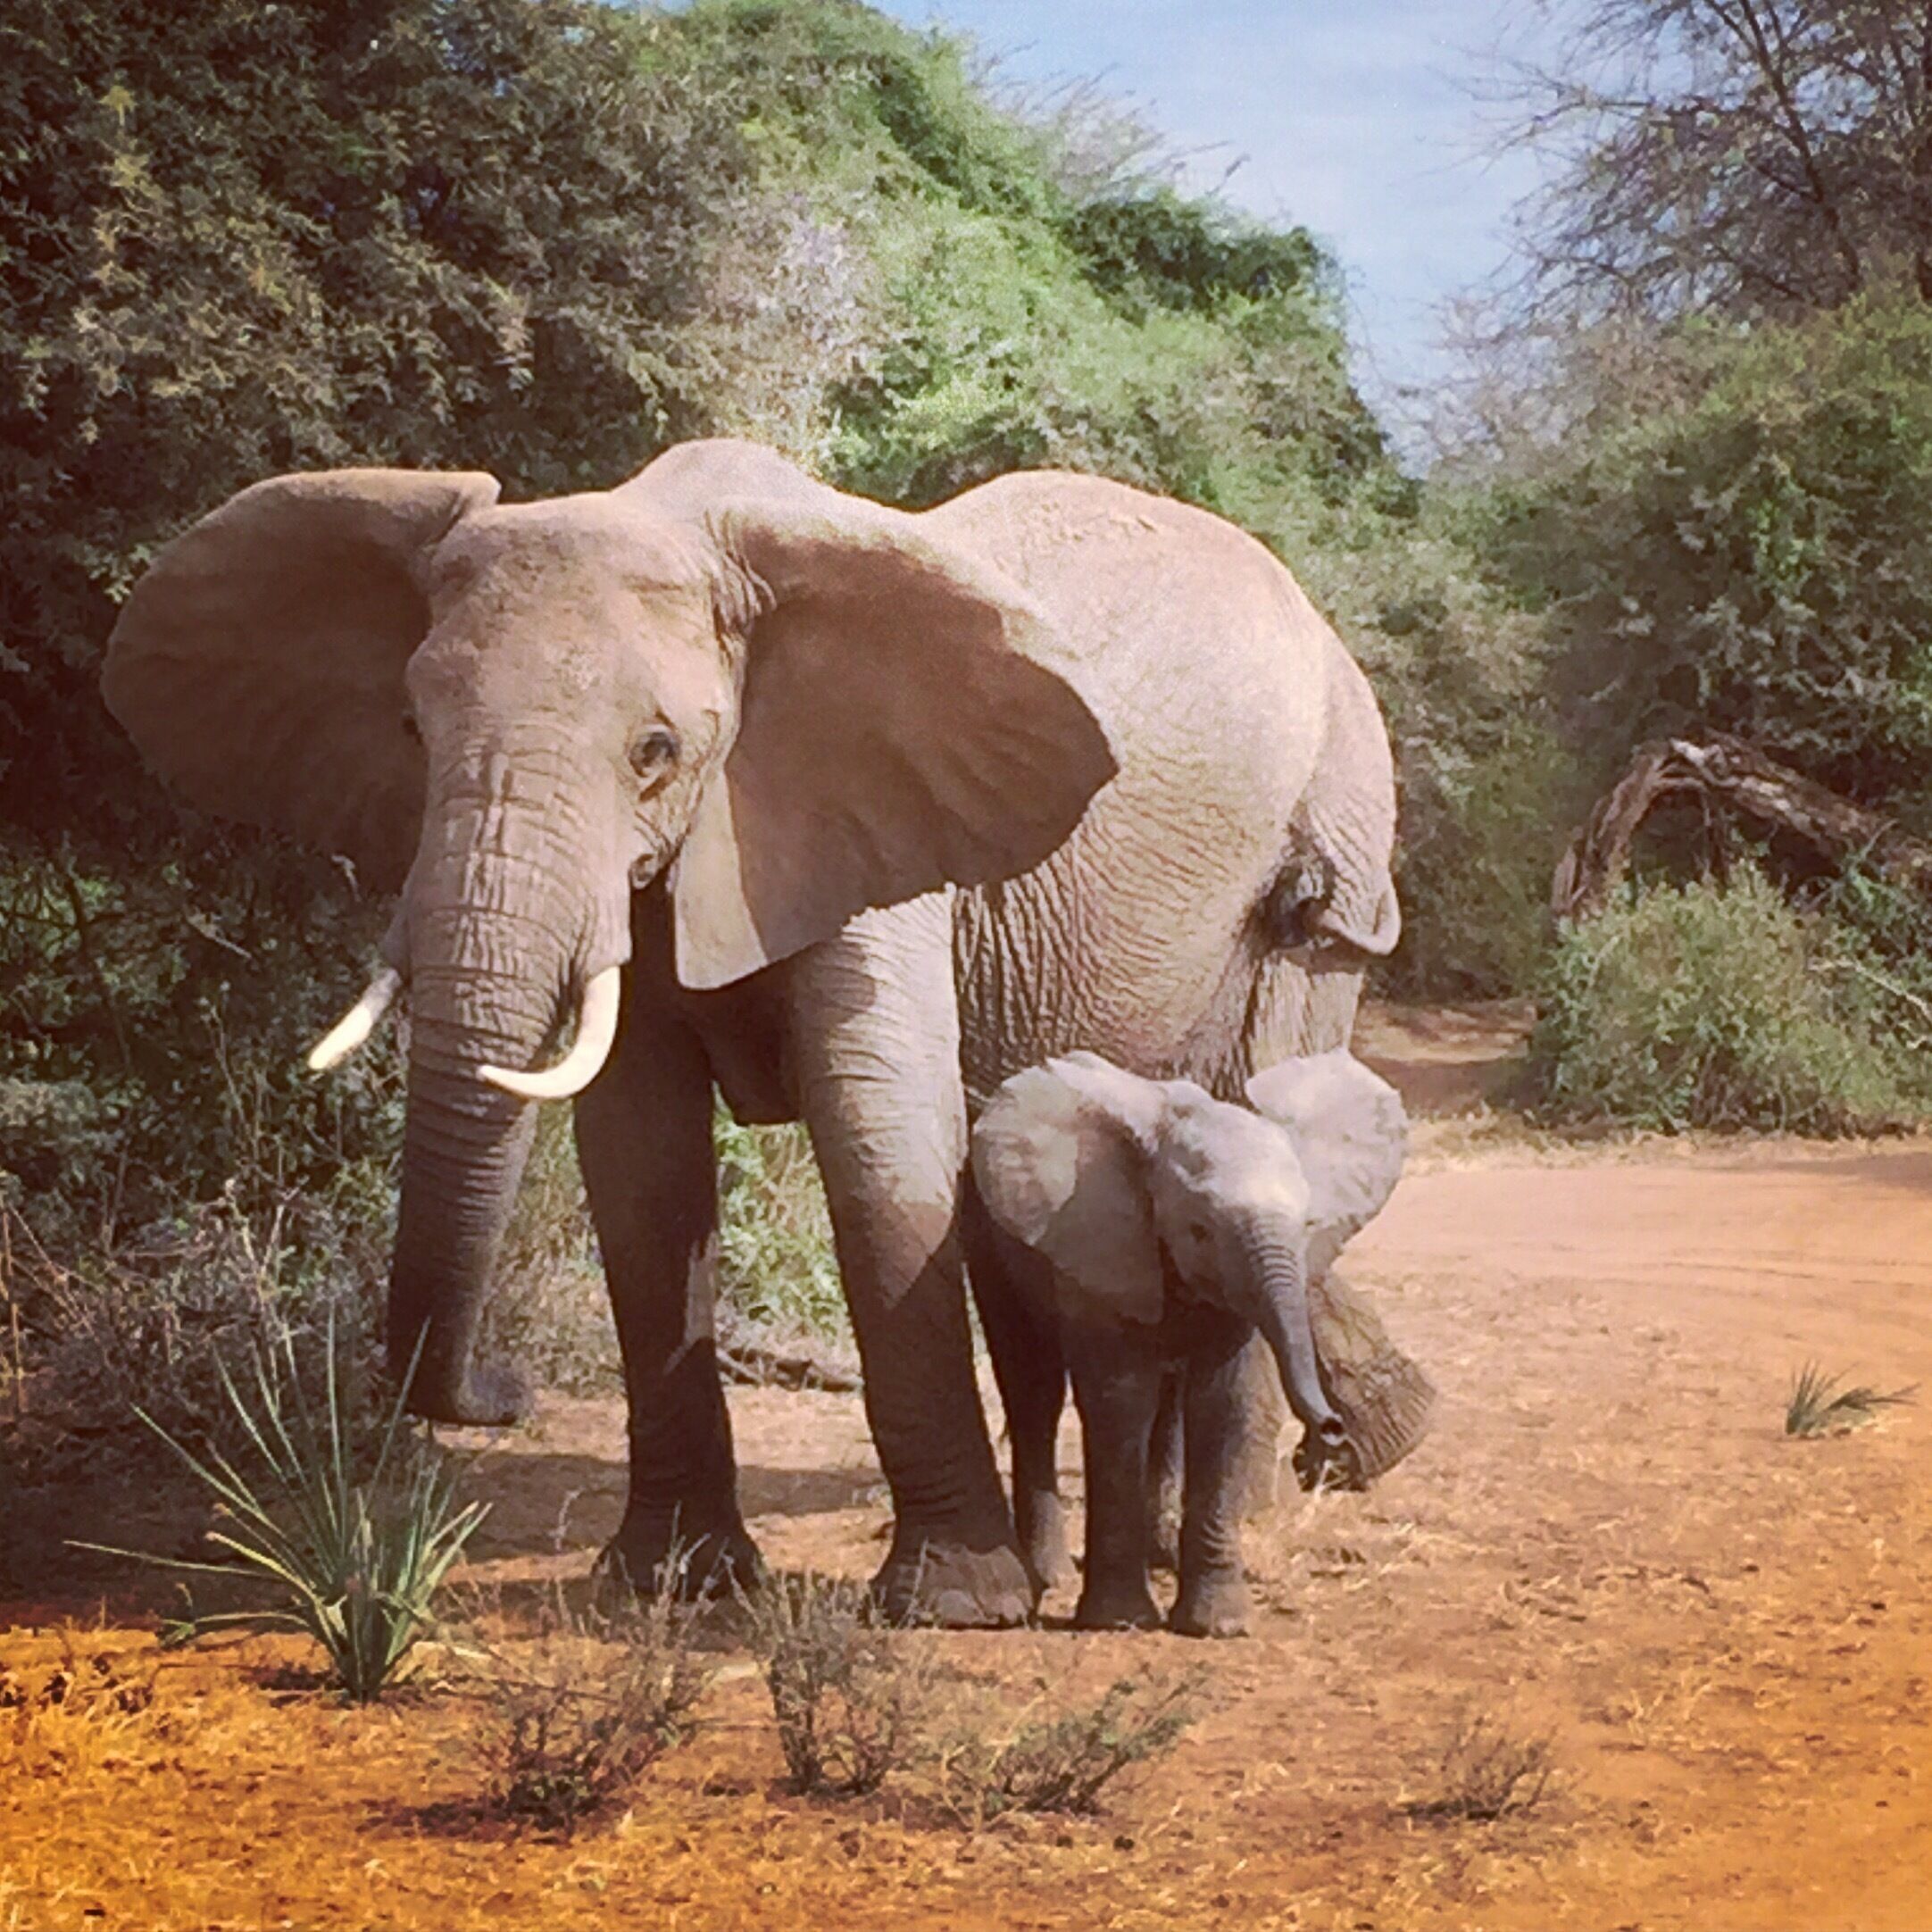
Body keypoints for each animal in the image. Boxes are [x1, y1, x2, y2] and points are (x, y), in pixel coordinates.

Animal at [971, 1048, 1425, 1637]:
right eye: (1199, 1231)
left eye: (1308, 1224)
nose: (1329, 1430)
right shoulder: (1106, 1247)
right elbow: (1121, 1401)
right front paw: (1118, 1621)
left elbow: (1222, 1402)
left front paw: (1217, 1626)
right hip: (988, 1241)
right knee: (1034, 1390)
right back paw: (1051, 1579)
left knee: (1168, 1407)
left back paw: (1156, 1556)